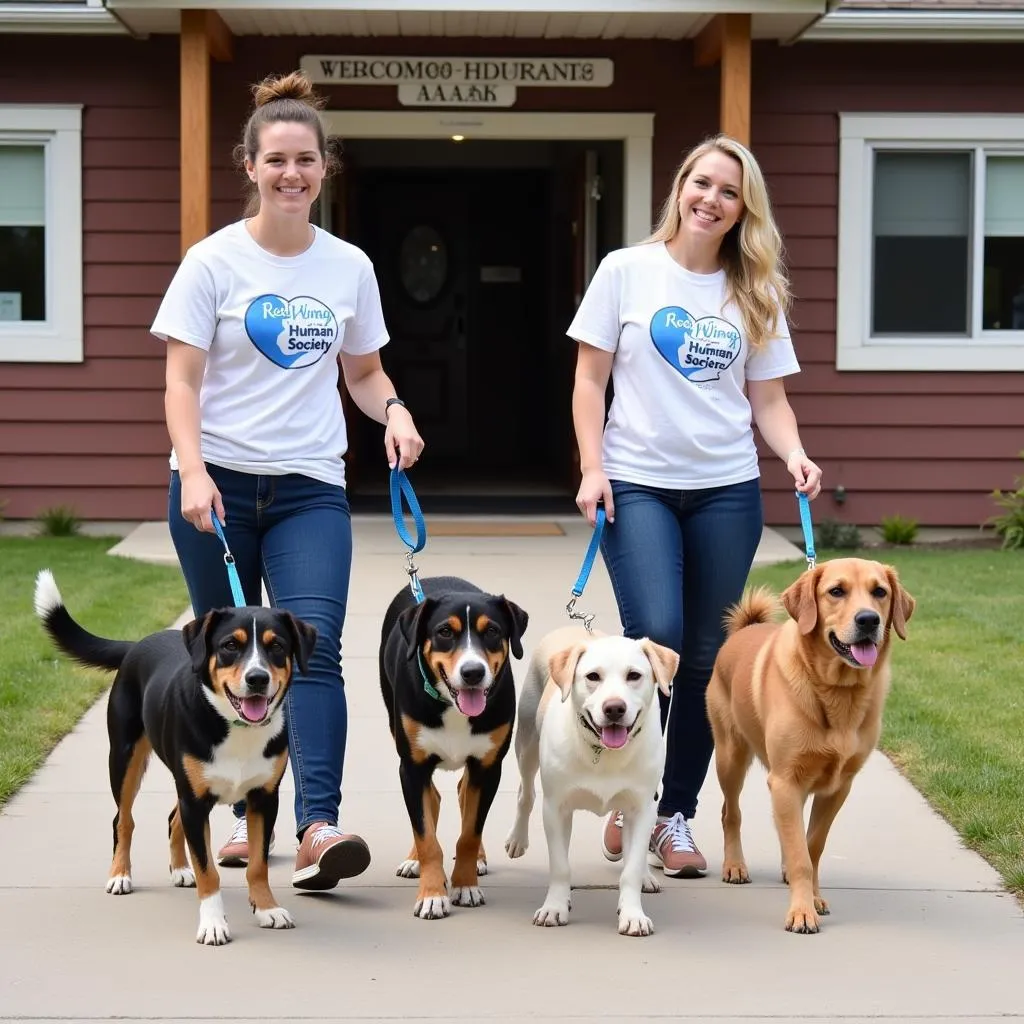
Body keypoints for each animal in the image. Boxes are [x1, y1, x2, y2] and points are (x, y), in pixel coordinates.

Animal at [34, 569, 315, 942]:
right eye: (230, 646)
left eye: (277, 647)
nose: (257, 678)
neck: (235, 727)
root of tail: (136, 644)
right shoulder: (196, 800)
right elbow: (209, 870)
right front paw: (213, 923)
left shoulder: (263, 798)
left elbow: (257, 865)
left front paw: (267, 908)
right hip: (125, 760)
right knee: (123, 820)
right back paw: (120, 875)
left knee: (172, 818)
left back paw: (181, 869)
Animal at [380, 577, 532, 921]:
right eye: (445, 632)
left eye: (492, 631)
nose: (472, 672)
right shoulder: (412, 768)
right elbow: (426, 837)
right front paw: (432, 894)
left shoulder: (488, 767)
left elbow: (470, 833)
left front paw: (465, 885)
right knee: (432, 801)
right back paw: (413, 861)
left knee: (463, 793)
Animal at [505, 622, 679, 937]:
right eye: (593, 677)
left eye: (634, 675)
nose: (614, 708)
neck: (603, 751)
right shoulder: (556, 809)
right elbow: (560, 866)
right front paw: (555, 907)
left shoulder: (641, 809)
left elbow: (631, 868)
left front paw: (632, 913)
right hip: (526, 740)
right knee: (526, 793)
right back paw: (517, 839)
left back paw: (647, 876)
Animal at [708, 561, 917, 937]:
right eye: (836, 591)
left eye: (880, 592)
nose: (869, 620)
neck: (837, 692)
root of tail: (745, 629)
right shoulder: (786, 780)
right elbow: (801, 854)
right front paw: (802, 911)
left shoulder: (836, 787)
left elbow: (811, 846)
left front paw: (812, 897)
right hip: (730, 757)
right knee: (730, 813)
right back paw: (734, 865)